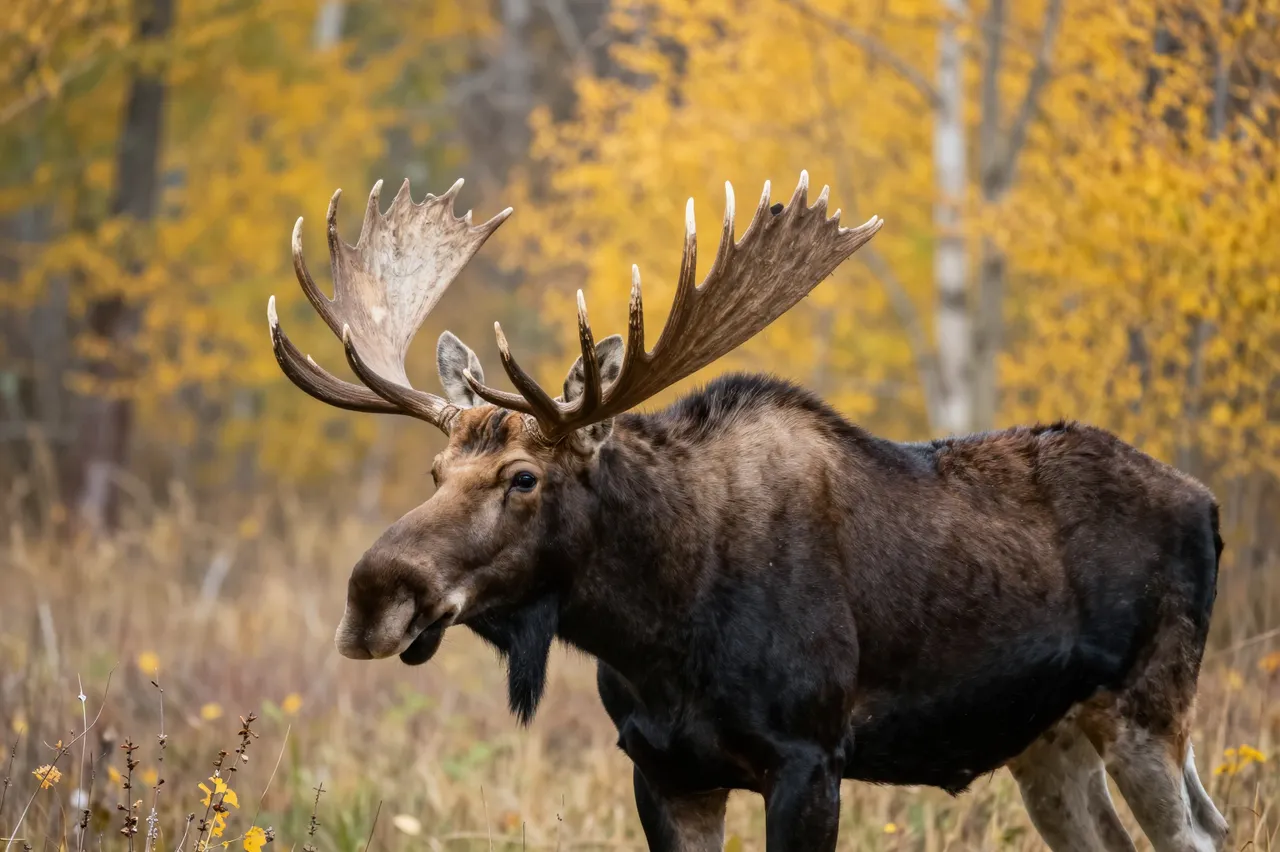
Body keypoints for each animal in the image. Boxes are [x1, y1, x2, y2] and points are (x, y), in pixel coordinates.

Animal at [265, 172, 1229, 852]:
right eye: (434, 469)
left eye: (522, 478)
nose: (372, 594)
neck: (657, 631)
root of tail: (1210, 503)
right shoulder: (665, 769)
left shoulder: (808, 758)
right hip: (1047, 737)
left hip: (1148, 705)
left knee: (1196, 833)